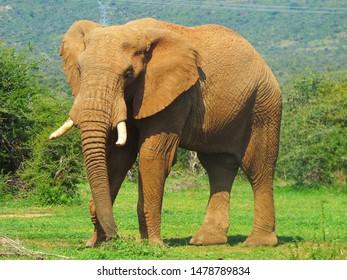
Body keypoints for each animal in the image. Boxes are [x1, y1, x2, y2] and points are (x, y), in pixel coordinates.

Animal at [49, 18, 282, 247]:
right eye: (79, 70)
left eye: (128, 74)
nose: (116, 236)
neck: (134, 31)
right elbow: (118, 157)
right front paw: (96, 243)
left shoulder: (176, 95)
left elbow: (152, 156)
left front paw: (153, 245)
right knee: (218, 167)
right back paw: (206, 241)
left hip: (263, 105)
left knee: (258, 168)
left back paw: (258, 243)